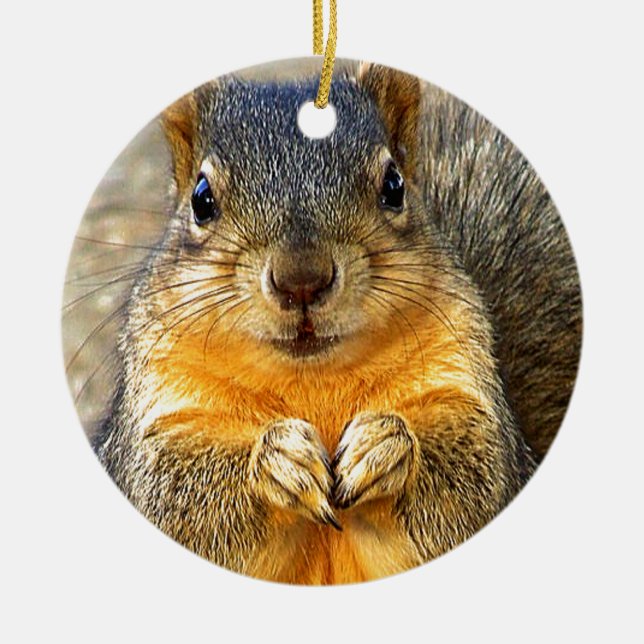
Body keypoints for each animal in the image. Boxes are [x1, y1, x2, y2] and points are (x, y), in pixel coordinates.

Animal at [94, 59, 582, 584]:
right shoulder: (159, 423)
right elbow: (173, 496)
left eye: (394, 186)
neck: (312, 379)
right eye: (202, 199)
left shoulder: (468, 394)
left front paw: (386, 444)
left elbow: (474, 480)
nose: (301, 279)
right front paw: (276, 459)